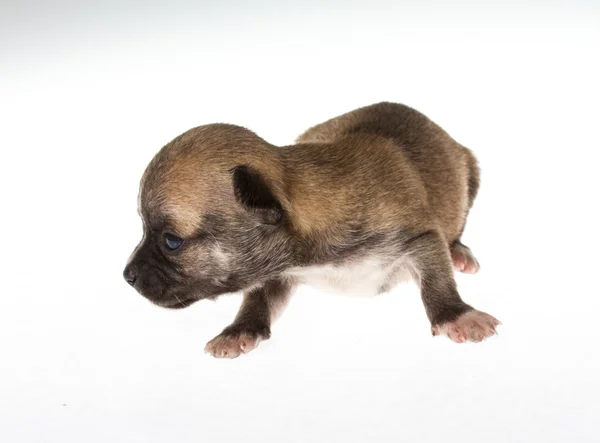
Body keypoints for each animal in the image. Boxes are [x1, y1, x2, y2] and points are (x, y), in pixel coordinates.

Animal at [123, 102, 502, 360]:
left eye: (172, 241)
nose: (127, 276)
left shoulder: (419, 237)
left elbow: (437, 279)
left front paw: (456, 315)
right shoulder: (276, 271)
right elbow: (256, 297)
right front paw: (240, 329)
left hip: (470, 170)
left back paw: (459, 252)